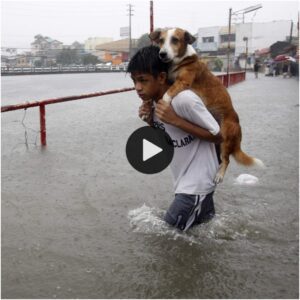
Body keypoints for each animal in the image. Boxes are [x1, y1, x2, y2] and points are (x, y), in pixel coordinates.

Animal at [149, 28, 264, 183]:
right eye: (161, 40)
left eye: (175, 40)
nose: (162, 54)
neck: (181, 60)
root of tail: (238, 127)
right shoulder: (170, 79)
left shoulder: (183, 82)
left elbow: (167, 93)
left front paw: (163, 103)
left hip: (225, 139)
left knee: (227, 160)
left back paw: (219, 175)